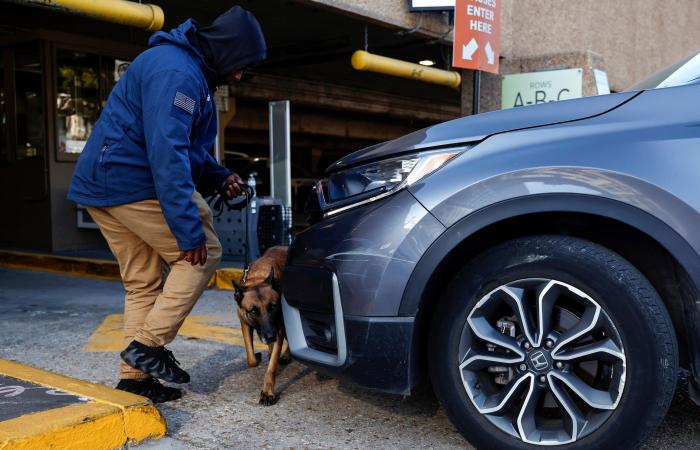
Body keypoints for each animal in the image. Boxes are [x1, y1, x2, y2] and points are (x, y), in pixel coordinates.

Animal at [234, 244, 292, 406]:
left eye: (272, 307)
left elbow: (271, 368)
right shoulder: (245, 324)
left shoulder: (279, 330)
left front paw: (267, 393)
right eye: (253, 311)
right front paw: (257, 357)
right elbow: (251, 359)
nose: (271, 336)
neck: (258, 278)